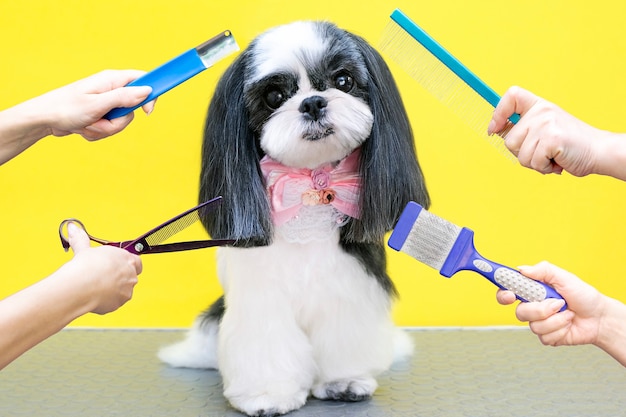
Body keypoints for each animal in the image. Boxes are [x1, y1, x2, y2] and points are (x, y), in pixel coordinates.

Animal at [157, 20, 428, 416]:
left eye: (343, 80)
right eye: (274, 96)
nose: (313, 102)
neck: (308, 190)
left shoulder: (350, 284)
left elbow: (343, 336)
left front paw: (343, 381)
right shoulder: (261, 295)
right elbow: (266, 346)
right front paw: (267, 395)